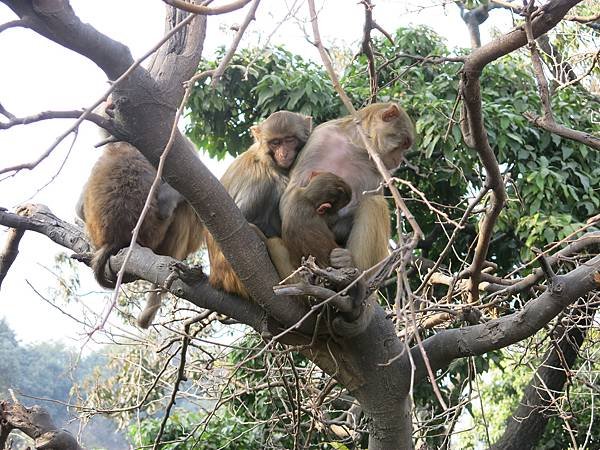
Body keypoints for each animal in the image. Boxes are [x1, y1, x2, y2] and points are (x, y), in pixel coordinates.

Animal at [205, 110, 312, 298]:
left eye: (289, 140)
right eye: (275, 143)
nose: (283, 154)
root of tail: (215, 278)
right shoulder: (263, 180)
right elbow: (238, 222)